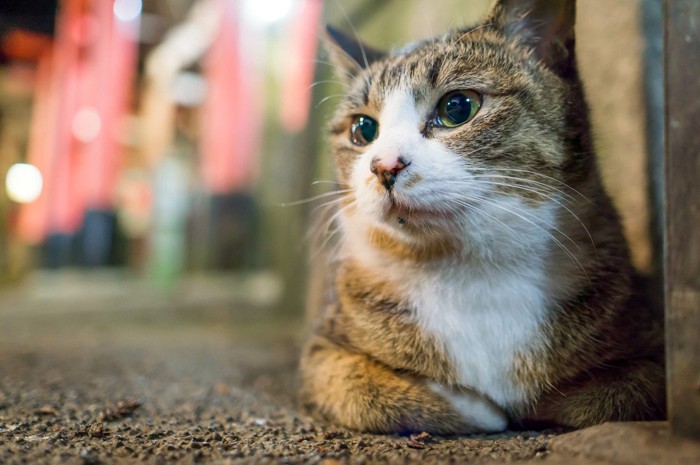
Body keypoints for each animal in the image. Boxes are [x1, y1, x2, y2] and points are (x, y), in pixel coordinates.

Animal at [300, 0, 660, 436]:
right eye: (363, 129)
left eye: (457, 107)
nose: (384, 166)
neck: (468, 267)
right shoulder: (323, 351)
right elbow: (362, 390)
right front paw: (475, 405)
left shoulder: (648, 345)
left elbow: (614, 396)